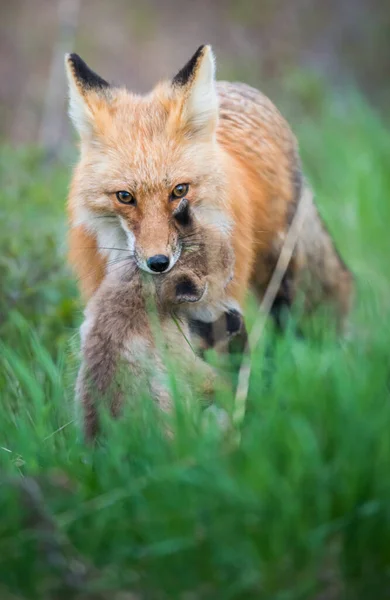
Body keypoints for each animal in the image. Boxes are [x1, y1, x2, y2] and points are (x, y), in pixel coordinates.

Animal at [64, 46, 354, 336]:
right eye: (125, 196)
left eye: (180, 190)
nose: (158, 263)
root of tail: (236, 87)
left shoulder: (217, 305)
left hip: (279, 260)